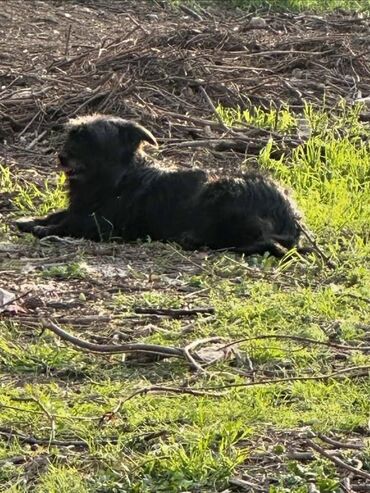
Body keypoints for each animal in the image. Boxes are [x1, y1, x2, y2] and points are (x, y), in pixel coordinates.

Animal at [16, 113, 306, 256]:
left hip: (222, 191)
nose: (62, 156)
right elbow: (59, 213)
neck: (117, 179)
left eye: (89, 139)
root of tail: (289, 217)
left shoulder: (105, 223)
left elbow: (72, 222)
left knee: (265, 243)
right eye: (72, 134)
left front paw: (46, 229)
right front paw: (33, 220)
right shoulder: (81, 206)